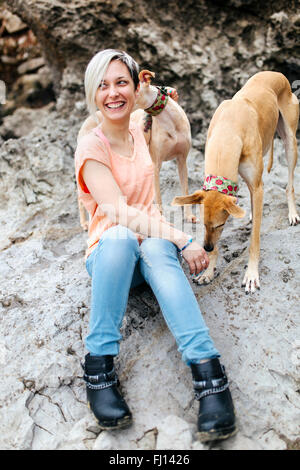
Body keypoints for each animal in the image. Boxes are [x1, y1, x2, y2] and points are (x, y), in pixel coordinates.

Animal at [76, 68, 196, 228]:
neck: (170, 122)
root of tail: (89, 119)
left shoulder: (182, 160)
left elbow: (185, 190)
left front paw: (189, 216)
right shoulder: (155, 164)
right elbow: (158, 198)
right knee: (81, 198)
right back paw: (84, 222)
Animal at [172, 71, 298, 294]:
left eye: (221, 224)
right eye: (203, 224)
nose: (207, 247)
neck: (228, 130)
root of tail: (276, 73)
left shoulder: (258, 187)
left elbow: (254, 240)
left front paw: (251, 275)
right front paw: (208, 271)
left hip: (290, 141)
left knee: (289, 184)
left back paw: (292, 213)